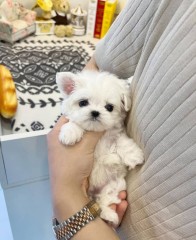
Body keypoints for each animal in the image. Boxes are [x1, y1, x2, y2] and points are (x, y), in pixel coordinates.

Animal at [56, 70, 143, 226]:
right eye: (83, 103)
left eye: (109, 107)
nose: (95, 112)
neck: (97, 131)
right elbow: (73, 123)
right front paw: (70, 133)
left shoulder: (116, 134)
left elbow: (122, 142)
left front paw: (134, 155)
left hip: (114, 185)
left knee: (103, 201)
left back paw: (109, 215)